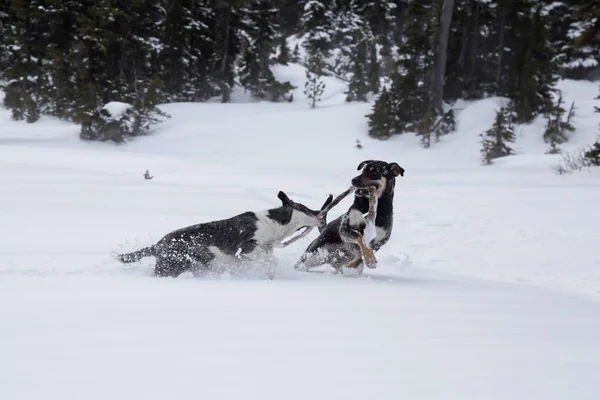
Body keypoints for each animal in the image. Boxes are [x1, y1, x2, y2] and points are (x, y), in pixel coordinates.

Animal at [117, 191, 332, 278]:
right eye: (305, 208)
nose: (322, 214)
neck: (273, 223)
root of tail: (157, 245)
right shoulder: (247, 248)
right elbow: (269, 260)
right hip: (171, 266)